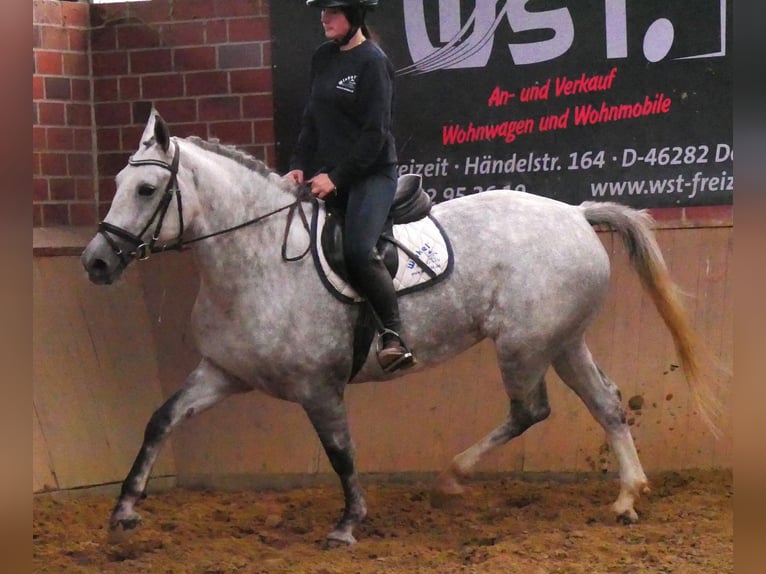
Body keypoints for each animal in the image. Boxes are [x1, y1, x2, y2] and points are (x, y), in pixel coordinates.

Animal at [81, 110, 718, 546]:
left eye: (145, 189)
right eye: (112, 184)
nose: (96, 262)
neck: (254, 259)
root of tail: (576, 213)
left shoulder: (318, 387)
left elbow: (340, 451)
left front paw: (348, 523)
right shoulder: (221, 372)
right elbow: (161, 420)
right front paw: (125, 510)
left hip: (523, 345)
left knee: (529, 410)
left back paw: (454, 476)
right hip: (562, 341)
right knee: (606, 403)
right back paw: (627, 498)